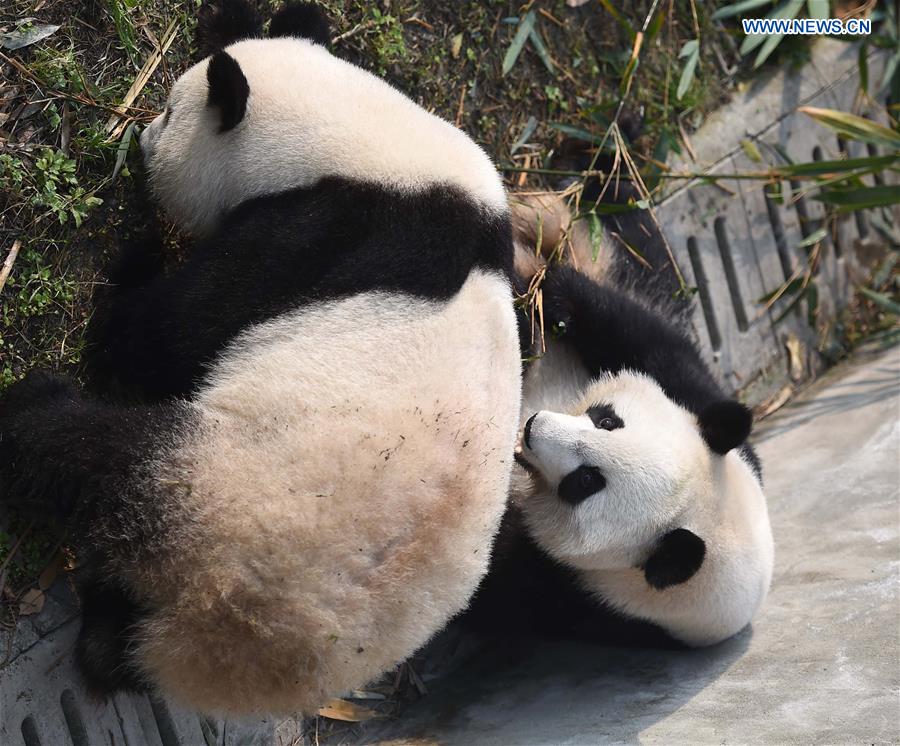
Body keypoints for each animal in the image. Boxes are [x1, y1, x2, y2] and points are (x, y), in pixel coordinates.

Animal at [0, 1, 521, 717]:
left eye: (169, 111)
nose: (143, 144)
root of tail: (228, 647)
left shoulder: (321, 233)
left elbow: (169, 333)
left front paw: (129, 291)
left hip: (215, 481)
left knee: (98, 452)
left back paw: (34, 409)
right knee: (117, 637)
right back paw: (110, 638)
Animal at [462, 169, 774, 649]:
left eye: (586, 481)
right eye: (607, 419)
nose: (532, 425)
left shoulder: (577, 597)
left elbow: (491, 590)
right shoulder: (696, 397)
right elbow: (636, 330)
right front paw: (553, 293)